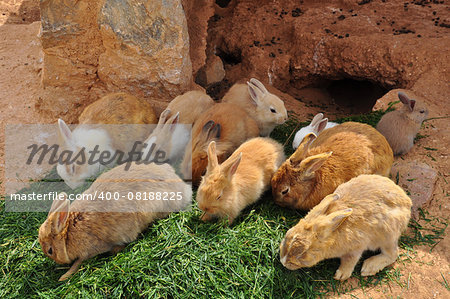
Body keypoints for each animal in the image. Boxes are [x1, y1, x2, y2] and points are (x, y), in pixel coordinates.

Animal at [38, 162, 192, 282]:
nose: (56, 261)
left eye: (50, 251)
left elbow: (78, 262)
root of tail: (185, 189)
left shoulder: (90, 250)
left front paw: (64, 276)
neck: (69, 232)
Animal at [280, 175, 414, 282]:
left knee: (393, 254)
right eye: (287, 234)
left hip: (387, 235)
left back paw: (369, 267)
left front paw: (341, 275)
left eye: (303, 252)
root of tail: (407, 202)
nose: (283, 262)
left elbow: (350, 260)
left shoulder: (356, 248)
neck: (333, 233)